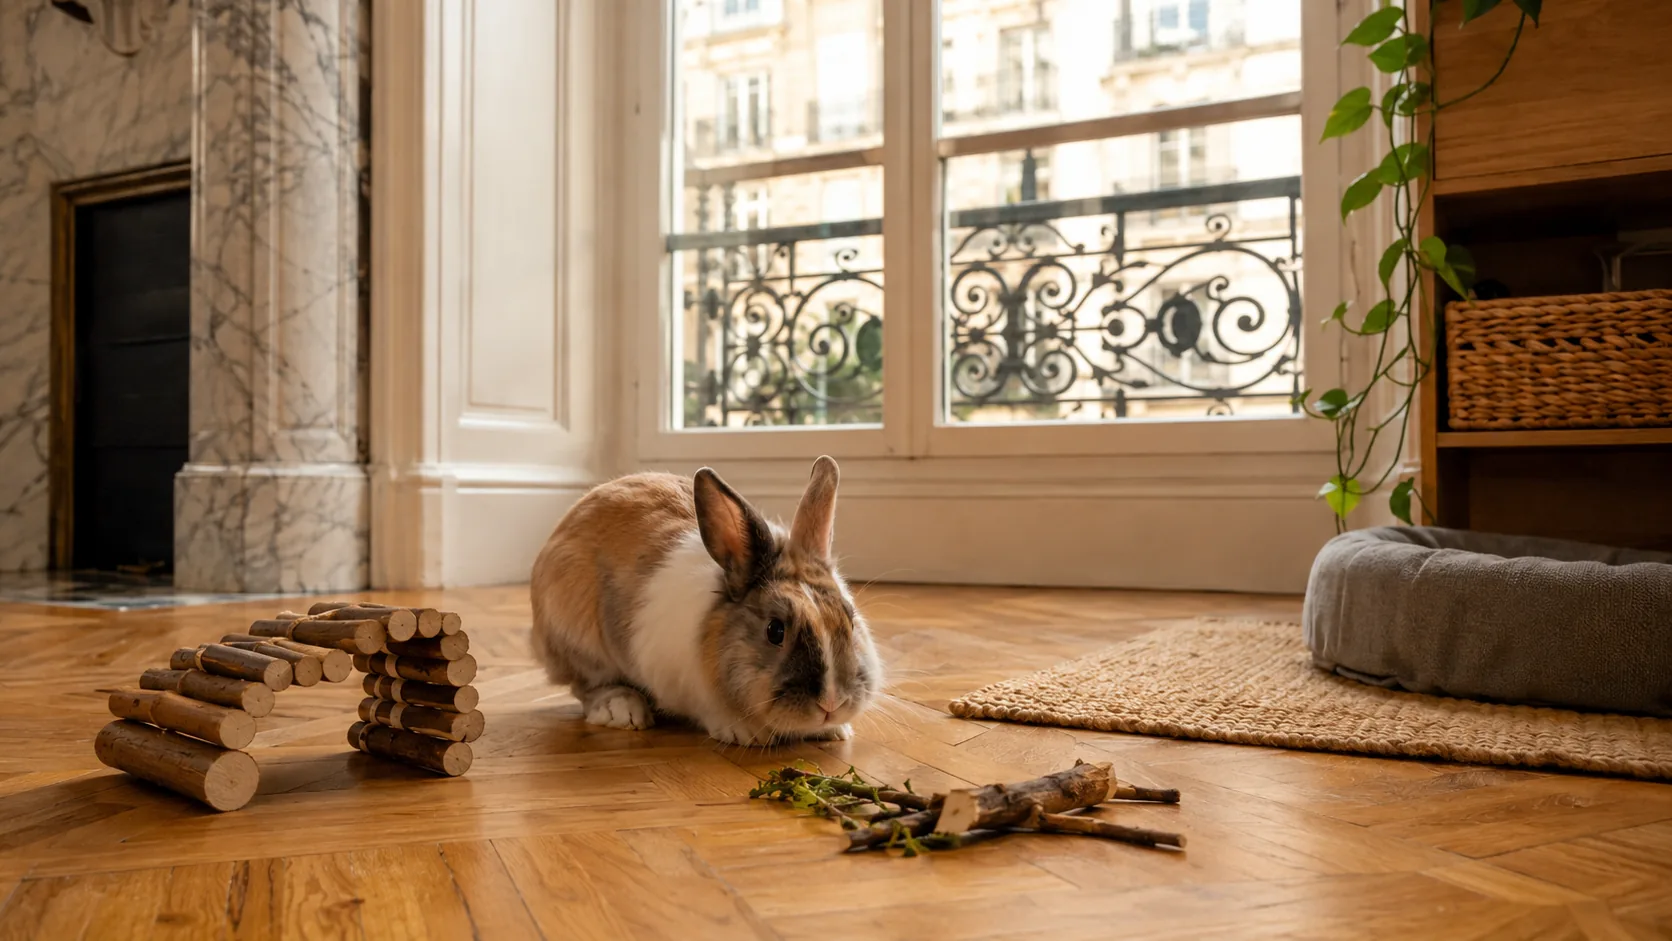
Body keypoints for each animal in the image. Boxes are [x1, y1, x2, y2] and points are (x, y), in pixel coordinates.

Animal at [528, 456, 882, 746]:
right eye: (775, 631)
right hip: (579, 639)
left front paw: (836, 730)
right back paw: (621, 708)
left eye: (850, 621)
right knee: (587, 685)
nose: (832, 704)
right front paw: (744, 733)